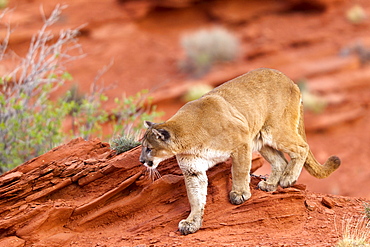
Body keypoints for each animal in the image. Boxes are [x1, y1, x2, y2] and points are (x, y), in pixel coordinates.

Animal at [139, 67, 342, 235]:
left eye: (149, 148)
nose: (141, 160)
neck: (189, 138)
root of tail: (291, 80)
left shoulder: (241, 141)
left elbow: (239, 171)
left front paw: (240, 194)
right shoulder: (193, 170)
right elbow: (195, 197)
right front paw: (192, 222)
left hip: (275, 130)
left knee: (302, 147)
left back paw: (288, 179)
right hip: (261, 138)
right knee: (281, 161)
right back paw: (270, 184)